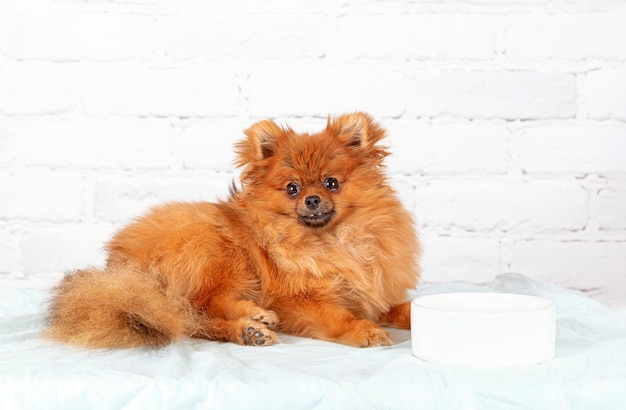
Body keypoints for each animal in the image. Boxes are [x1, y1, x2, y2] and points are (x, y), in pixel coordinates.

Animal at [45, 113, 420, 350]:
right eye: (292, 189)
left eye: (332, 183)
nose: (312, 199)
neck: (332, 240)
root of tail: (119, 269)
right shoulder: (296, 300)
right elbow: (336, 315)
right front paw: (363, 330)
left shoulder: (372, 295)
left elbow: (402, 307)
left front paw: (410, 315)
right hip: (220, 251)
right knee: (196, 310)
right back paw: (252, 321)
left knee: (190, 320)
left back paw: (250, 327)